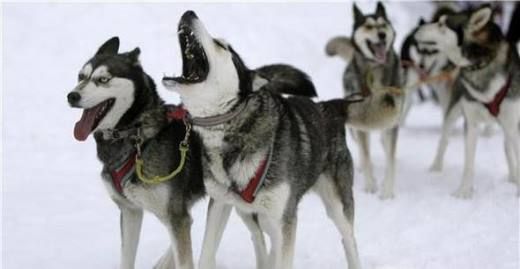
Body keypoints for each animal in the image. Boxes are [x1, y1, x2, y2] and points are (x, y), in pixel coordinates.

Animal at [162, 10, 362, 268]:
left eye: (222, 46)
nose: (189, 12)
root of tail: (331, 106)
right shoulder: (220, 203)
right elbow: (207, 252)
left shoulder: (285, 220)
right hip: (248, 211)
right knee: (259, 235)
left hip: (335, 206)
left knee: (349, 239)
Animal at [328, 2, 404, 199]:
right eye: (369, 26)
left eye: (383, 25)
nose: (382, 34)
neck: (375, 69)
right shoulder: (360, 120)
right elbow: (367, 154)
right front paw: (370, 185)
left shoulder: (392, 123)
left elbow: (391, 159)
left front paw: (387, 191)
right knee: (364, 149)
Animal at [414, 4, 520, 197]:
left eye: (442, 24)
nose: (417, 28)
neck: (481, 64)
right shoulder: (471, 123)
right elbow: (469, 163)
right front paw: (464, 192)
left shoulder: (512, 122)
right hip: (453, 112)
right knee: (444, 140)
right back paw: (436, 167)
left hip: (510, 126)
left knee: (508, 147)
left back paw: (513, 177)